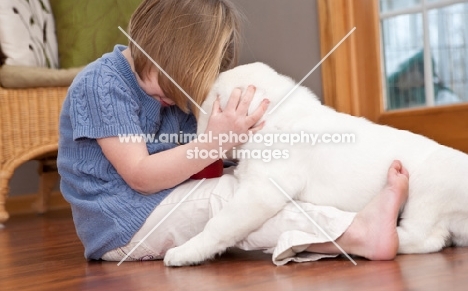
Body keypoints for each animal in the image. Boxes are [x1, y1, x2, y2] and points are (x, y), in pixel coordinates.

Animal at [164, 62, 468, 268]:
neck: (274, 117)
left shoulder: (260, 193)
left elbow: (219, 225)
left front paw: (185, 252)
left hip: (425, 193)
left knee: (426, 238)